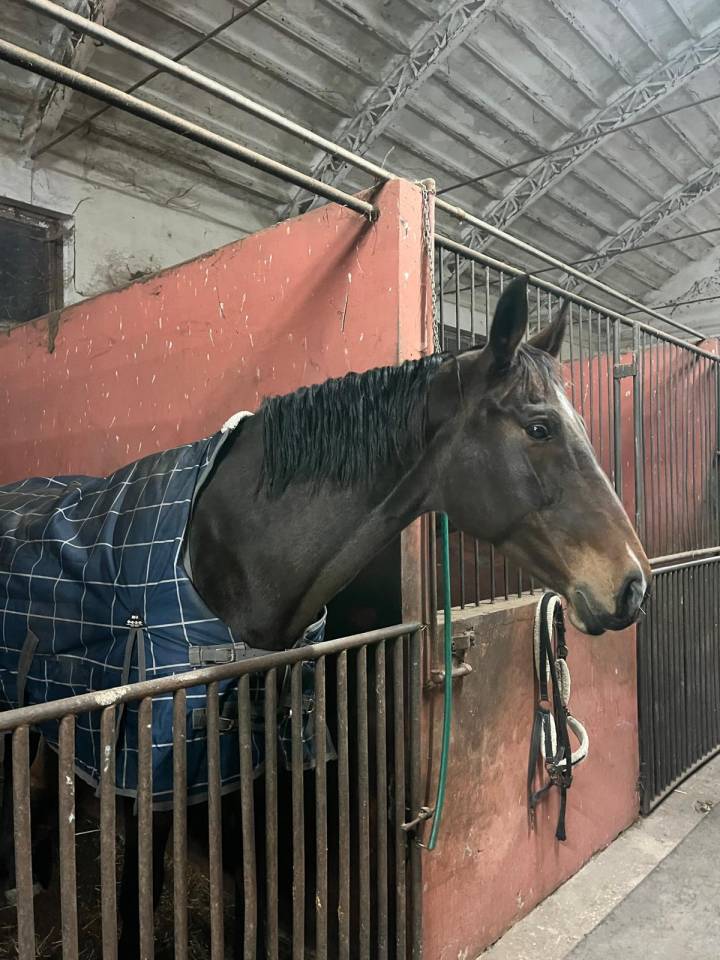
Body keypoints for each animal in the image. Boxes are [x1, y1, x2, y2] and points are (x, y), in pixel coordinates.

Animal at [0, 276, 650, 956]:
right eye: (540, 426)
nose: (632, 584)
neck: (222, 551)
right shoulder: (145, 767)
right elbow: (140, 897)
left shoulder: (265, 762)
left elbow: (261, 880)